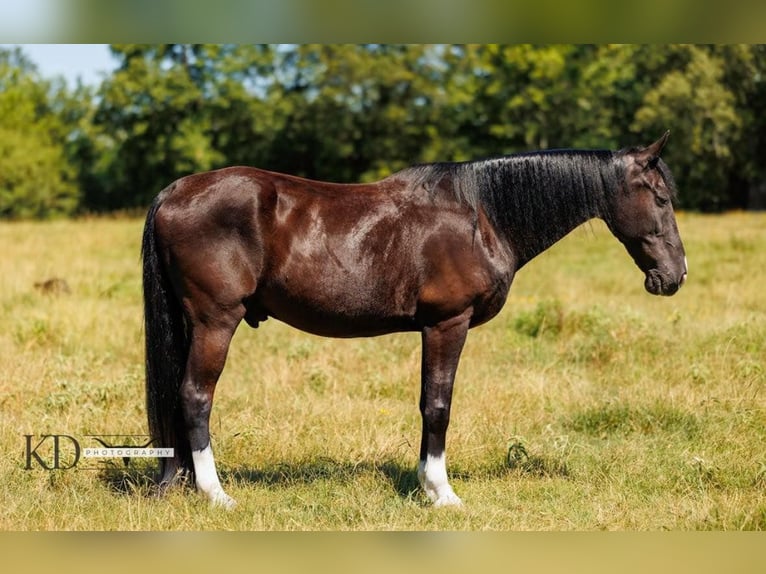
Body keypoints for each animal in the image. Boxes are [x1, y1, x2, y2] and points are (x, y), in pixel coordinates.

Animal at [142, 132, 687, 508]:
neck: (481, 215)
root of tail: (175, 191)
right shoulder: (447, 323)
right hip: (216, 321)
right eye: (661, 198)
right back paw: (216, 494)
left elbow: (429, 403)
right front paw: (441, 492)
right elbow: (438, 405)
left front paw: (427, 484)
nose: (675, 275)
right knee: (195, 397)